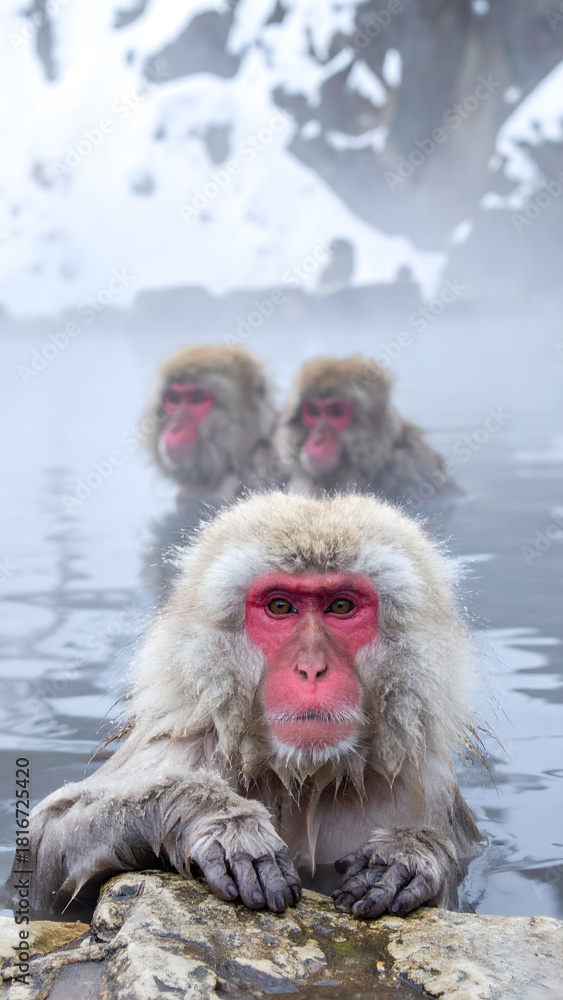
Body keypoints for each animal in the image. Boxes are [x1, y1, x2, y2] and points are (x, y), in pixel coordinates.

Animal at [3, 492, 482, 920]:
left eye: (341, 606)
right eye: (281, 607)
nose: (312, 668)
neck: (304, 779)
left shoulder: (425, 781)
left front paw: (410, 853)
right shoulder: (183, 744)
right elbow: (43, 846)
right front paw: (221, 821)